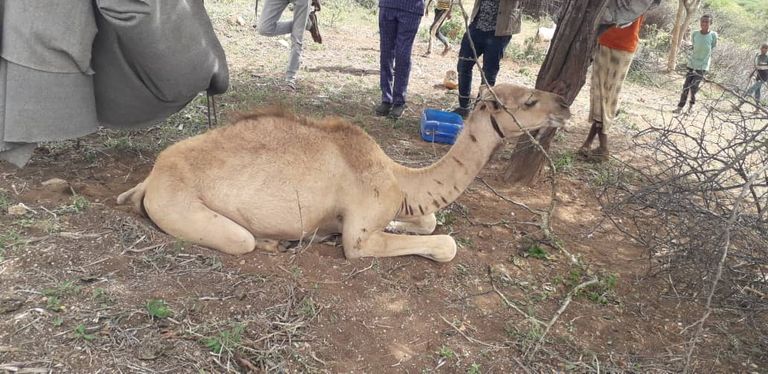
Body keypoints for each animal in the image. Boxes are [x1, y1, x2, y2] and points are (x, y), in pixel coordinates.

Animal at [115, 83, 568, 262]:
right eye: (528, 101)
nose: (564, 104)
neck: (399, 178)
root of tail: (151, 177)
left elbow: (429, 220)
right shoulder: (360, 236)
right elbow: (445, 243)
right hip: (183, 207)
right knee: (241, 239)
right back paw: (276, 242)